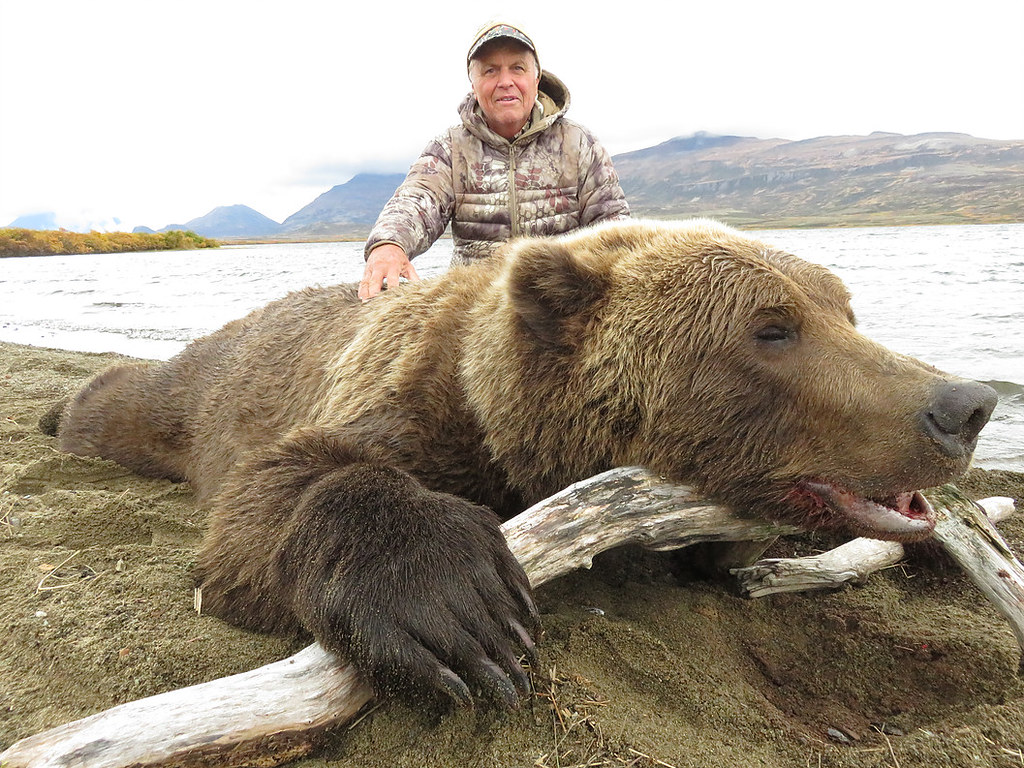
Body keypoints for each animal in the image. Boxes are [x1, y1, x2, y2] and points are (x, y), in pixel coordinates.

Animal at [50, 218, 997, 708]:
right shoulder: (414, 405)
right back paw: (58, 411)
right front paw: (456, 608)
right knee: (127, 403)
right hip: (206, 388)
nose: (966, 405)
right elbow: (268, 504)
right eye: (771, 328)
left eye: (845, 310)